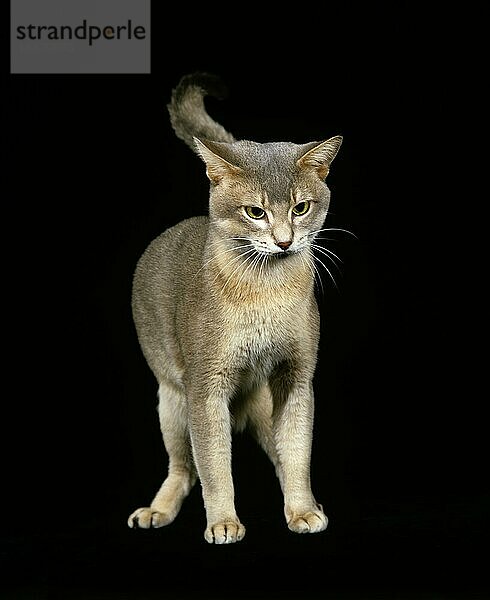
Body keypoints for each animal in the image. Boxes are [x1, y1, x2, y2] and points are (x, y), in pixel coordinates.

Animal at [128, 71, 342, 544]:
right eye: (255, 212)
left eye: (301, 208)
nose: (284, 241)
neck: (266, 293)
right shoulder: (205, 389)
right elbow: (213, 466)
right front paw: (224, 522)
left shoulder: (296, 377)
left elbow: (297, 453)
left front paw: (302, 511)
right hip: (171, 400)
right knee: (184, 468)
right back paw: (157, 510)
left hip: (261, 402)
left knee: (278, 453)